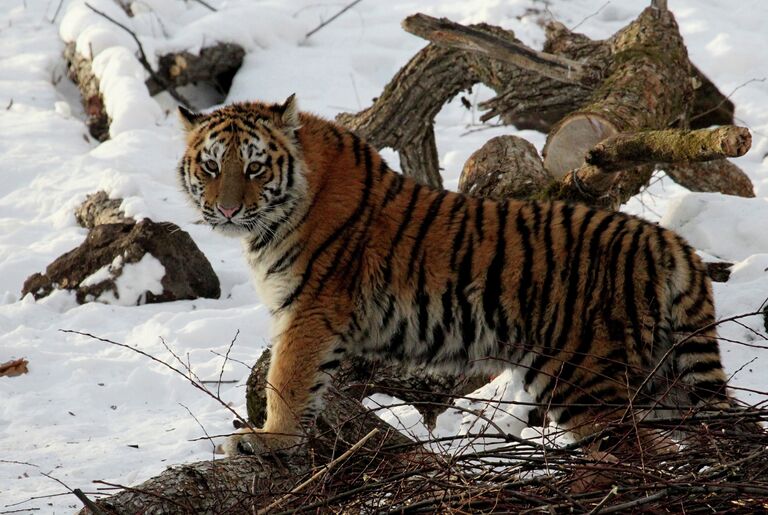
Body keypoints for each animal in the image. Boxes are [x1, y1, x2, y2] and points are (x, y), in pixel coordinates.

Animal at [176, 94, 732, 458]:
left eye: (254, 169)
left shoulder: (309, 311)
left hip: (586, 376)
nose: (226, 210)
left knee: (642, 454)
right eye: (210, 167)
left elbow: (286, 380)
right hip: (663, 376)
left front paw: (268, 440)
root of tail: (669, 242)